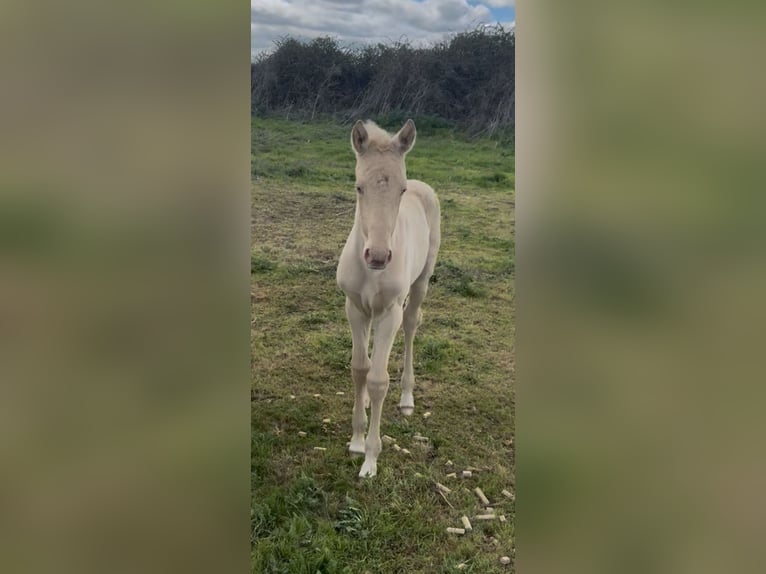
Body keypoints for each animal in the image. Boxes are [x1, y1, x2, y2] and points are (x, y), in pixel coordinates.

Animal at [336, 119, 441, 478]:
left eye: (401, 190)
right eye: (358, 187)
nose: (379, 256)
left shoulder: (389, 313)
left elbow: (379, 380)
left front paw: (370, 458)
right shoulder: (354, 307)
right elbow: (359, 368)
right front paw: (356, 440)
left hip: (420, 283)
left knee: (411, 325)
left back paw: (407, 397)